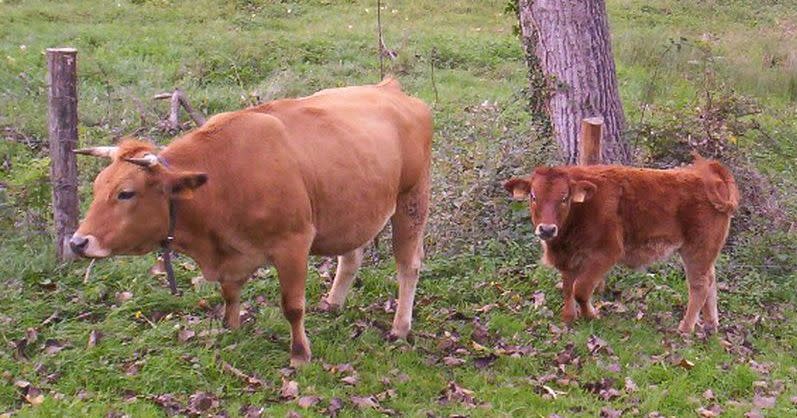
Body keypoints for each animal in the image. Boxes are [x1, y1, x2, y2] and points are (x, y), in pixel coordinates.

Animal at [71, 79, 432, 366]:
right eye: (97, 186)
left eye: (126, 193)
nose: (77, 242)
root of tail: (388, 87)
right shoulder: (231, 255)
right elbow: (230, 294)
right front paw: (231, 330)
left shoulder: (294, 243)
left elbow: (292, 306)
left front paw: (300, 354)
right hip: (351, 208)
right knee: (351, 257)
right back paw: (333, 305)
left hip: (412, 200)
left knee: (408, 266)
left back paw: (400, 328)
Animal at [506, 155, 736, 334]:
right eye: (533, 196)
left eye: (564, 198)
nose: (547, 229)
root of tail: (710, 173)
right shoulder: (570, 257)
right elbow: (568, 286)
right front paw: (568, 317)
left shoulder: (606, 253)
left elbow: (581, 289)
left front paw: (591, 315)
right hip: (705, 253)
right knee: (711, 280)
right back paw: (710, 324)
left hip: (697, 249)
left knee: (699, 285)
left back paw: (686, 328)